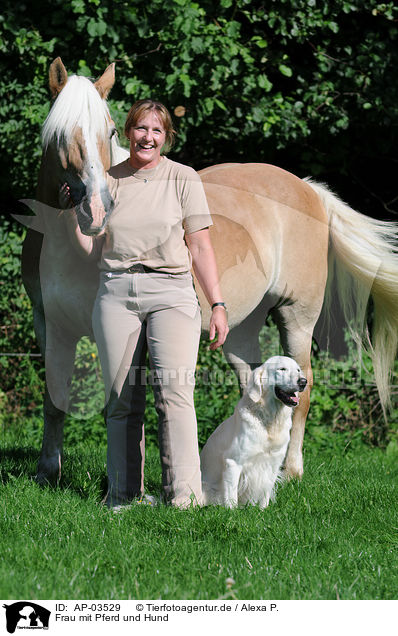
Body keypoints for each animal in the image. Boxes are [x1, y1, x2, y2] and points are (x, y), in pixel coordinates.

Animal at [19, 58, 398, 486]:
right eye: (59, 132)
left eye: (111, 130)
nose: (97, 211)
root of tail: (308, 189)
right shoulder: (50, 325)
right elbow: (54, 399)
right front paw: (47, 472)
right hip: (240, 328)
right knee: (255, 385)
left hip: (297, 316)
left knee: (303, 389)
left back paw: (291, 471)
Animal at [201, 358, 306, 506]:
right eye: (282, 369)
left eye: (298, 370)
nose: (303, 382)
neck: (269, 421)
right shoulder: (233, 463)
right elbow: (231, 498)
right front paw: (231, 511)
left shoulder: (272, 464)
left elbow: (265, 495)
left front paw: (263, 510)